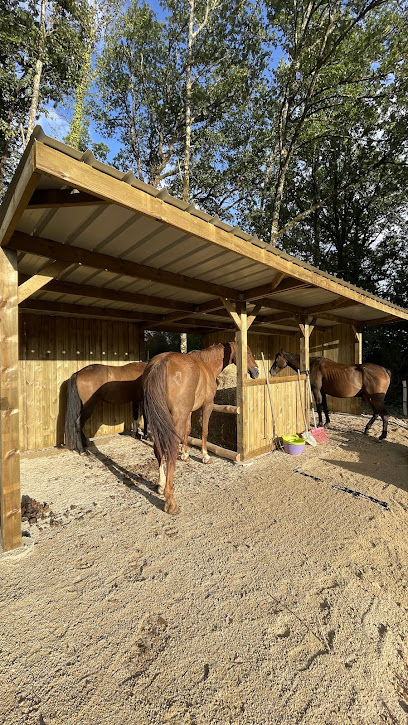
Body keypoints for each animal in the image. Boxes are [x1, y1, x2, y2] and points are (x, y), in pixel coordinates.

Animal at [143, 341, 259, 514]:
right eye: (248, 352)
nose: (256, 371)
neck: (207, 365)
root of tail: (160, 364)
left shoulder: (189, 410)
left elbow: (188, 430)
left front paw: (185, 454)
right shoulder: (207, 405)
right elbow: (204, 430)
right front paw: (205, 456)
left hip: (156, 419)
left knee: (158, 449)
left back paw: (161, 485)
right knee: (170, 450)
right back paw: (170, 500)